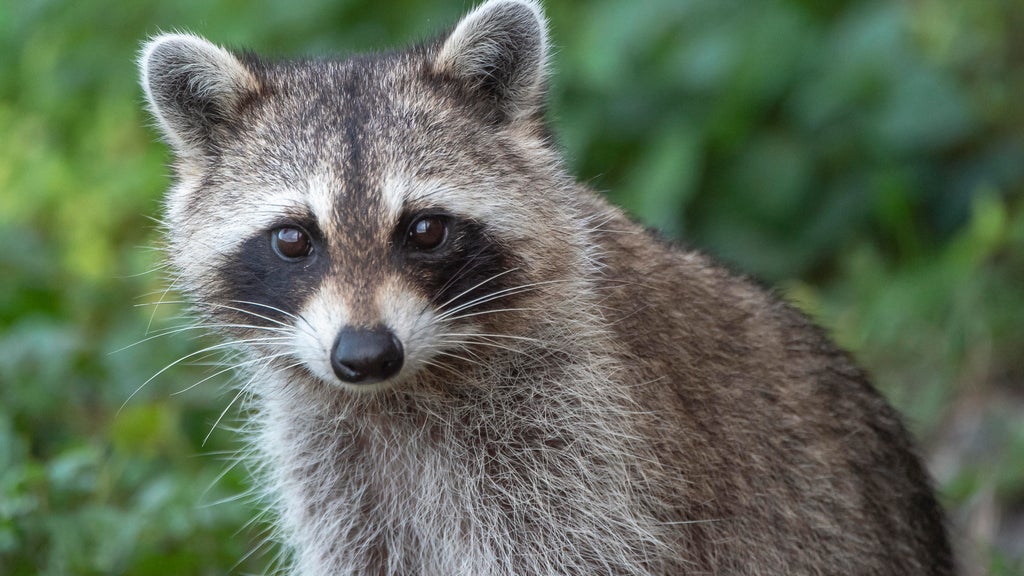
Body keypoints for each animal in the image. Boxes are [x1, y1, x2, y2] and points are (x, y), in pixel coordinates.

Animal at [139, 0, 954, 574]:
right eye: (293, 240)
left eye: (425, 230)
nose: (365, 355)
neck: (404, 394)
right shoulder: (336, 474)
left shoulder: (588, 443)